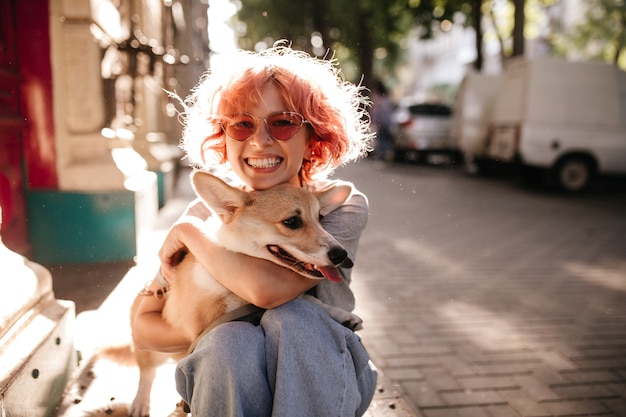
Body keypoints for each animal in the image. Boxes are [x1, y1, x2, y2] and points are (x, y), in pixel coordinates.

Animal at [127, 170, 360, 416]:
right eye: (292, 222)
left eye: (321, 218)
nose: (341, 255)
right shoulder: (203, 314)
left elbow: (309, 299)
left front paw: (343, 315)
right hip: (149, 346)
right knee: (147, 372)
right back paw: (141, 403)